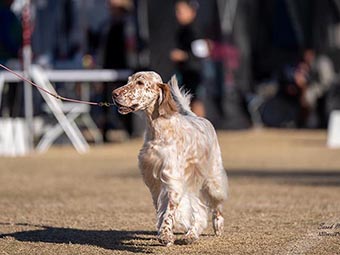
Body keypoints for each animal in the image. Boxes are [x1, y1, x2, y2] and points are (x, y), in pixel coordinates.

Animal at [112, 71, 228, 245]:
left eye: (140, 83)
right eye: (128, 81)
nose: (114, 94)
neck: (158, 130)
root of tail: (199, 117)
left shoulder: (172, 179)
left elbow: (169, 210)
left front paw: (166, 234)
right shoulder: (154, 182)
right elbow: (162, 209)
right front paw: (165, 230)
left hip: (212, 178)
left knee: (216, 203)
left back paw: (216, 226)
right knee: (199, 208)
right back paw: (191, 234)